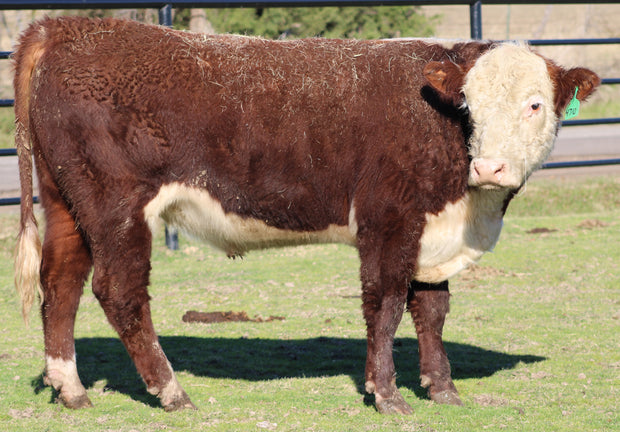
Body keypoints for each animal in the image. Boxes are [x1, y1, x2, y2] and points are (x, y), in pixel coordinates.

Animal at [10, 16, 600, 414]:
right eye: (469, 106)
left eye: (535, 105)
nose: (490, 166)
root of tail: (71, 26)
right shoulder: (388, 220)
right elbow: (385, 305)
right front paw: (387, 395)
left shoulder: (434, 234)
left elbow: (431, 311)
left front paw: (442, 389)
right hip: (116, 205)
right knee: (118, 290)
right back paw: (171, 391)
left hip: (67, 202)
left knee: (60, 282)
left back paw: (71, 389)